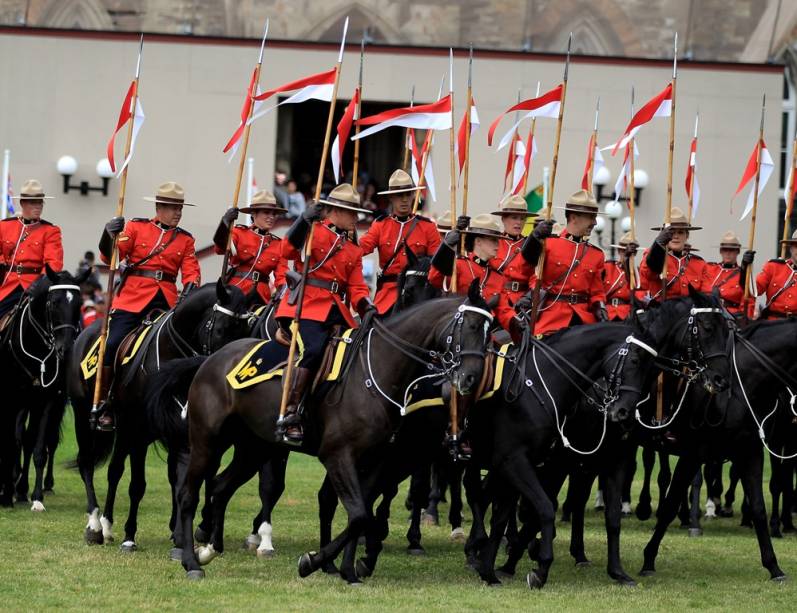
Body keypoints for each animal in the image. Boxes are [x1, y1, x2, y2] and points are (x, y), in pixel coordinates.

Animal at [0, 266, 87, 510]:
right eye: (54, 302)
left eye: (79, 304)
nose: (65, 349)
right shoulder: (14, 399)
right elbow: (13, 442)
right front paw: (8, 492)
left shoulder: (48, 400)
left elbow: (38, 448)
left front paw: (36, 497)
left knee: (42, 441)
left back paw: (28, 488)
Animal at [67, 280, 250, 548]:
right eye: (220, 330)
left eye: (243, 332)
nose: (224, 368)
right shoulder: (139, 430)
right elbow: (137, 485)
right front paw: (130, 536)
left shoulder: (180, 432)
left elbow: (181, 480)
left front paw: (180, 534)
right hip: (85, 417)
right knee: (88, 464)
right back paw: (95, 524)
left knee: (115, 470)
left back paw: (107, 524)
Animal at [176, 284, 494, 580]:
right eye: (472, 326)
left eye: (490, 335)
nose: (471, 378)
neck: (378, 370)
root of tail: (214, 357)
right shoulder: (338, 455)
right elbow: (358, 514)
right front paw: (316, 562)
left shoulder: (375, 461)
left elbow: (360, 515)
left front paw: (341, 568)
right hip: (207, 442)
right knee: (188, 495)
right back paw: (191, 562)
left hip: (254, 448)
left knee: (221, 486)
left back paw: (210, 549)